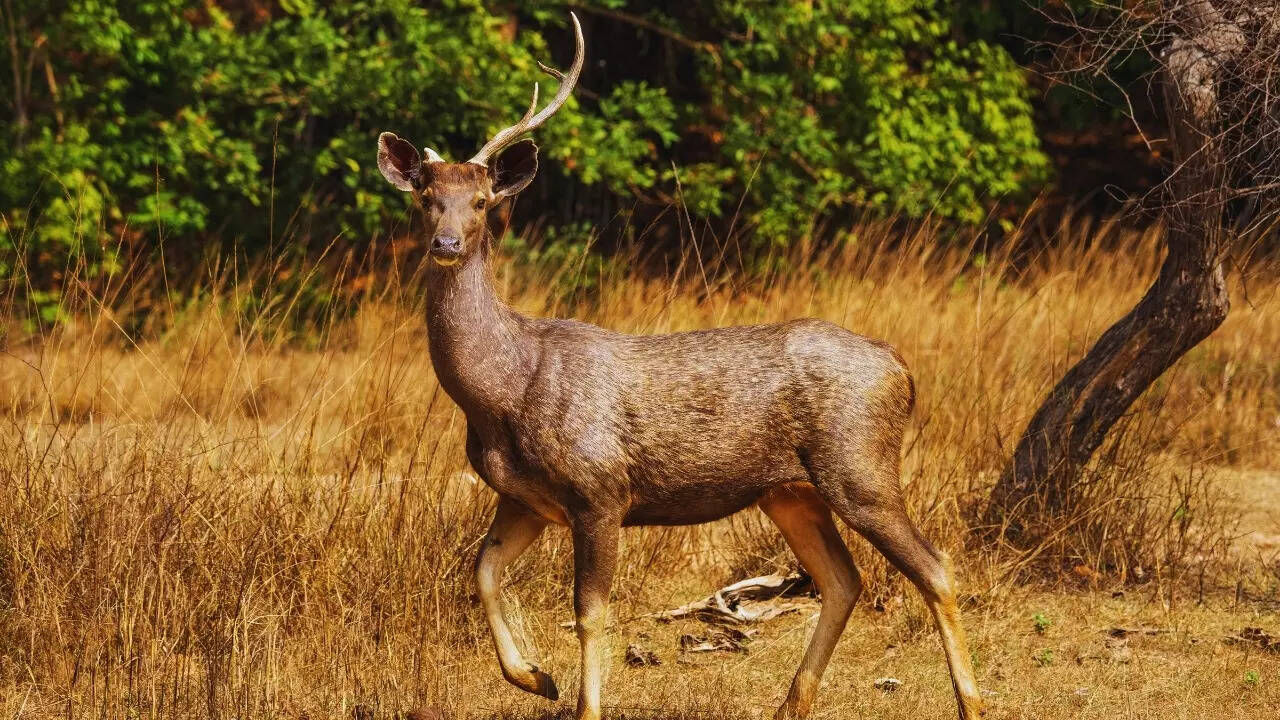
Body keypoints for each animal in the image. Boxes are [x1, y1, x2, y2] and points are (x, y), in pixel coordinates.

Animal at [374, 13, 982, 720]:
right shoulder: (524, 498)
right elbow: (482, 572)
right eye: (425, 198)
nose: (445, 243)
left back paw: (970, 701)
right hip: (789, 490)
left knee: (934, 565)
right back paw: (791, 703)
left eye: (480, 202)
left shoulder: (600, 490)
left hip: (860, 466)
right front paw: (535, 677)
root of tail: (900, 367)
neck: (501, 395)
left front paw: (580, 702)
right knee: (843, 579)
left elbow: (590, 614)